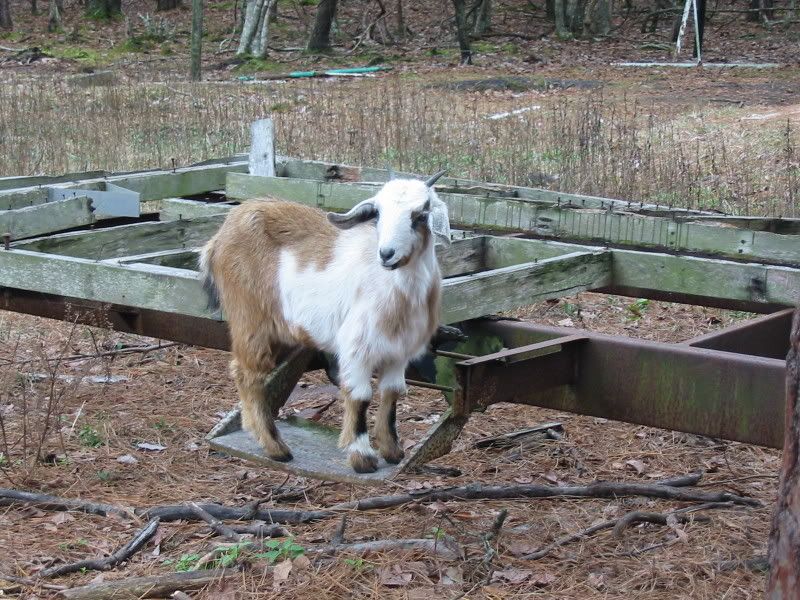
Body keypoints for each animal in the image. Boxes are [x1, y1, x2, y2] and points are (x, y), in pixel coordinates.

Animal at [199, 171, 450, 473]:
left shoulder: (399, 352)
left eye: (421, 214)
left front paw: (393, 451)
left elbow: (392, 394)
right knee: (248, 375)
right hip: (249, 319)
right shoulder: (356, 348)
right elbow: (360, 396)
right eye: (377, 214)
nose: (386, 254)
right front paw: (362, 457)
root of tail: (221, 234)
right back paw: (276, 448)